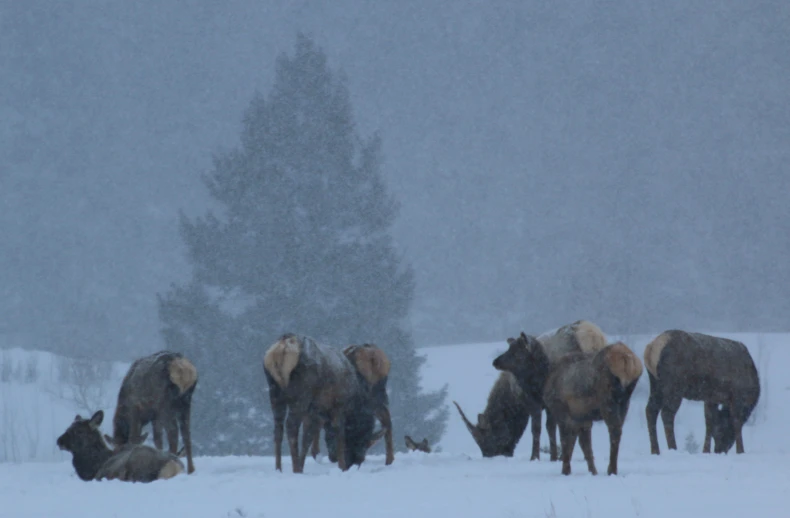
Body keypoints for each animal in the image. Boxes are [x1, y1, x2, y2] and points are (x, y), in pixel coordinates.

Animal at [262, 334, 378, 476]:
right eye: (363, 436)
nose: (357, 461)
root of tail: (282, 348)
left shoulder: (314, 412)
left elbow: (308, 437)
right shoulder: (336, 406)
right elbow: (337, 434)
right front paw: (342, 467)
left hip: (275, 395)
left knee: (278, 429)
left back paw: (279, 468)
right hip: (301, 396)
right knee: (291, 426)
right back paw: (295, 469)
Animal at [452, 320, 608, 464]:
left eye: (487, 437)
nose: (489, 455)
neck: (513, 397)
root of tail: (593, 338)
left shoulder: (533, 401)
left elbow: (537, 428)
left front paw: (535, 457)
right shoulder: (548, 404)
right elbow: (551, 427)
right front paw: (553, 457)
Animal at [498, 336, 648, 478]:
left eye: (517, 351)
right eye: (510, 347)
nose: (496, 361)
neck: (543, 383)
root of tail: (628, 361)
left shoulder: (561, 411)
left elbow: (566, 442)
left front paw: (565, 470)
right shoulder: (582, 417)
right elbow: (585, 445)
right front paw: (593, 471)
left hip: (608, 401)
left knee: (614, 431)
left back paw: (611, 469)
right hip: (625, 402)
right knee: (618, 430)